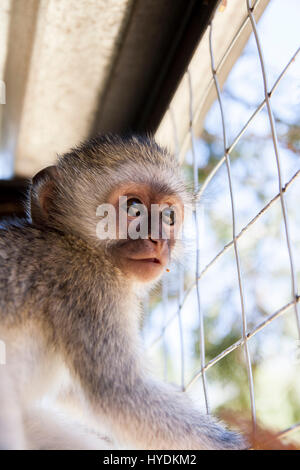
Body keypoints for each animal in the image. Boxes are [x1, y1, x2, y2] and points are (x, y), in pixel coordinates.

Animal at [0, 135, 244, 448]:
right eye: (134, 207)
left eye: (168, 216)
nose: (157, 239)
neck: (75, 242)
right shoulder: (92, 285)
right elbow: (120, 394)